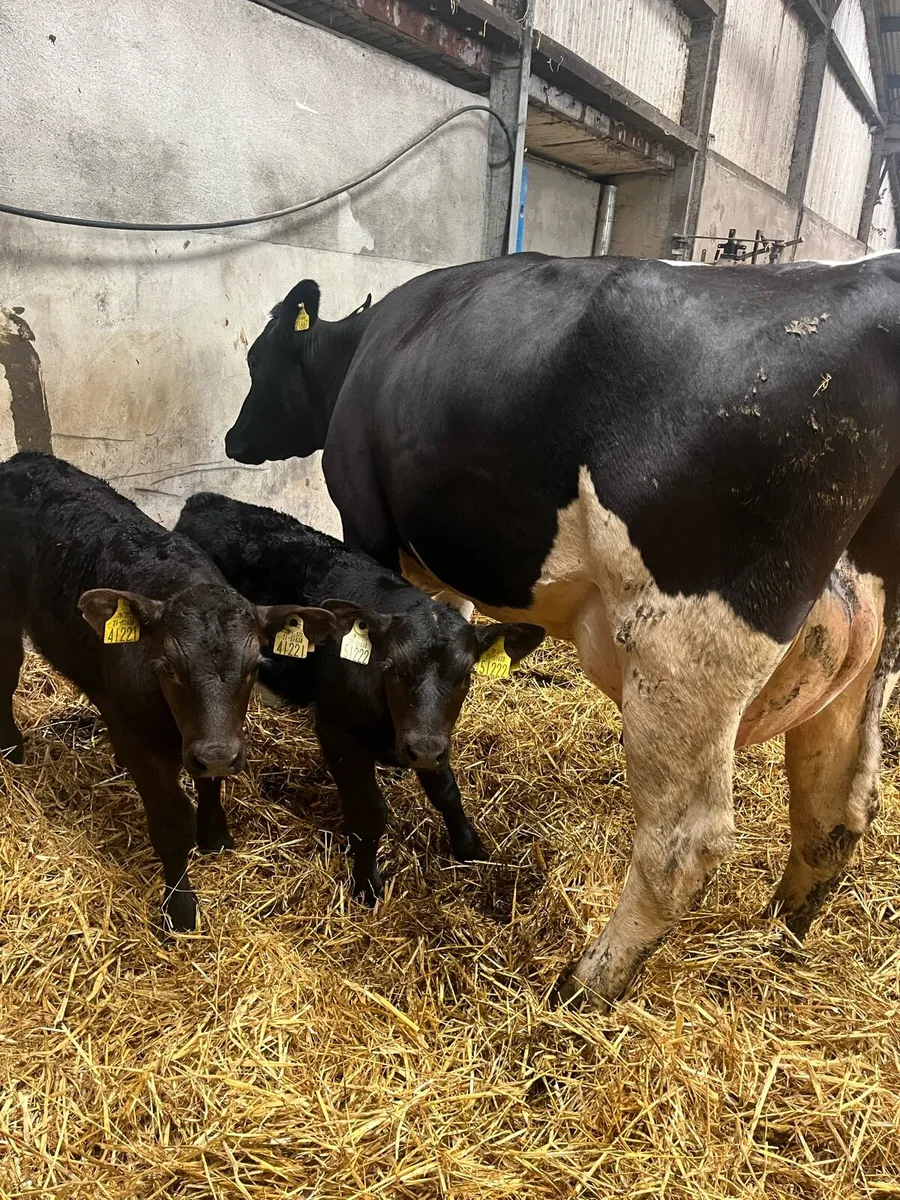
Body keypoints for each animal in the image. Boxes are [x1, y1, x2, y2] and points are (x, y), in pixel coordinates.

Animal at [0, 452, 337, 931]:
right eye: (169, 667)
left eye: (254, 668)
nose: (217, 754)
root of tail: (24, 459)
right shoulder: (150, 749)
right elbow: (172, 823)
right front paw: (180, 908)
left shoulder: (213, 735)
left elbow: (210, 782)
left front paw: (215, 835)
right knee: (7, 668)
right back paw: (11, 747)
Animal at [175, 491, 544, 901]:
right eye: (392, 669)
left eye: (465, 676)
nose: (422, 749)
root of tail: (204, 498)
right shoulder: (338, 732)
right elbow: (369, 812)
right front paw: (367, 884)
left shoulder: (433, 737)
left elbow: (447, 791)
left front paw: (470, 847)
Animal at [224, 252, 900, 1007]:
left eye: (258, 359)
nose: (232, 439)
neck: (368, 348)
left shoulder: (365, 521)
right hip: (868, 647)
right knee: (837, 806)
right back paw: (777, 936)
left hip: (682, 651)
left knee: (683, 843)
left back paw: (587, 982)